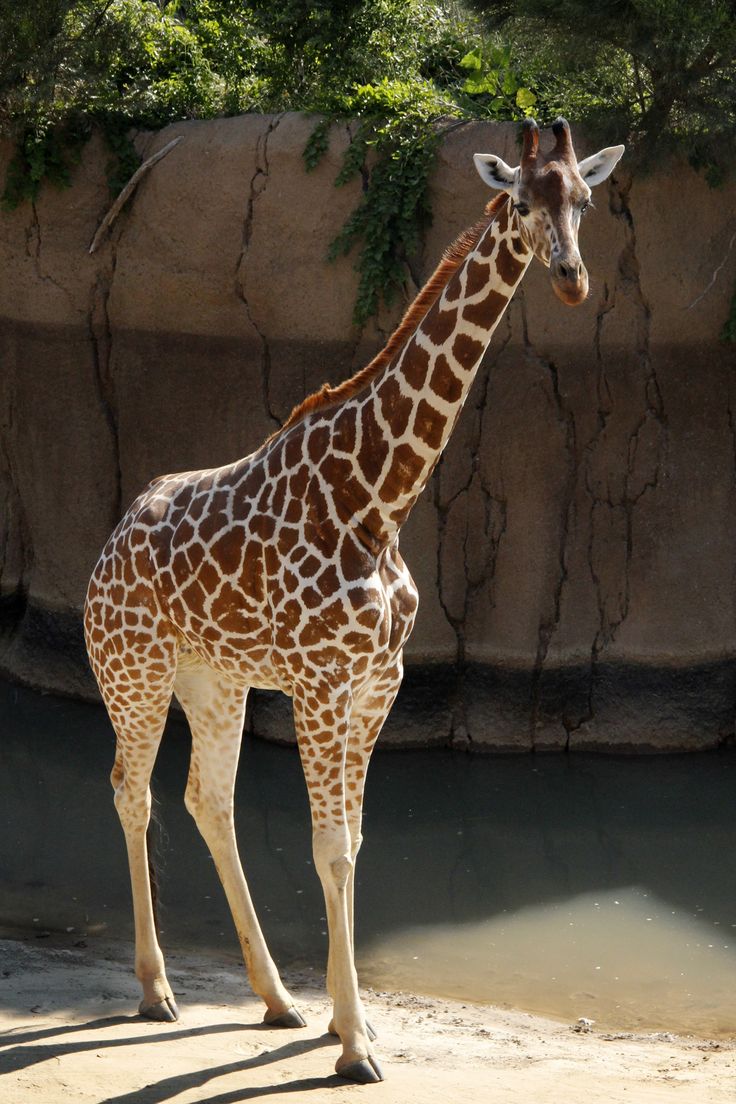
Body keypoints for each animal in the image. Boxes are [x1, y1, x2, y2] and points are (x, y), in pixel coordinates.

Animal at [84, 118, 622, 1077]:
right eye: (523, 201)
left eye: (585, 200)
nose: (570, 278)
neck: (380, 497)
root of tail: (108, 544)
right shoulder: (321, 686)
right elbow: (328, 847)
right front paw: (355, 1044)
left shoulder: (377, 685)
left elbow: (353, 845)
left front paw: (342, 1023)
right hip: (133, 673)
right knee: (131, 790)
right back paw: (157, 989)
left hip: (213, 683)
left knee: (205, 799)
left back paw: (274, 999)